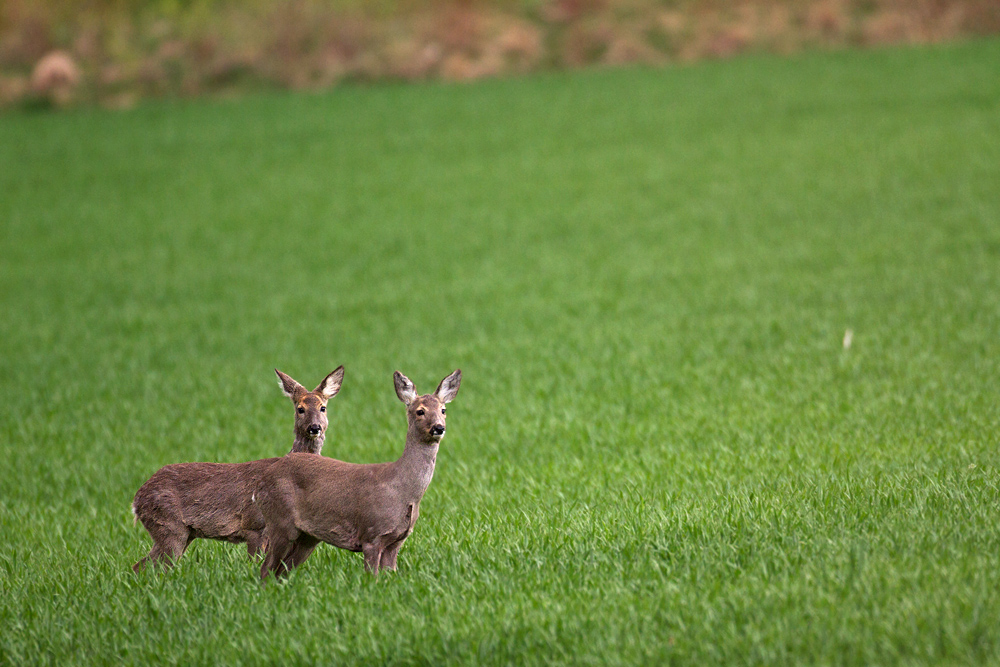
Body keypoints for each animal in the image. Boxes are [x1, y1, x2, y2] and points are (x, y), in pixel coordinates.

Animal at [132, 368, 344, 572]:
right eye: (300, 409)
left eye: (323, 407)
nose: (315, 427)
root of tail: (137, 500)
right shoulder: (254, 525)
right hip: (169, 526)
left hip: (183, 532)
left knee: (142, 566)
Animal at [256, 368, 462, 580]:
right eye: (420, 411)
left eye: (443, 410)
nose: (438, 428)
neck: (403, 490)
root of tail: (262, 480)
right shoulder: (372, 534)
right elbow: (372, 577)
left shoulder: (396, 541)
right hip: (280, 520)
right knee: (266, 568)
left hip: (307, 536)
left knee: (281, 570)